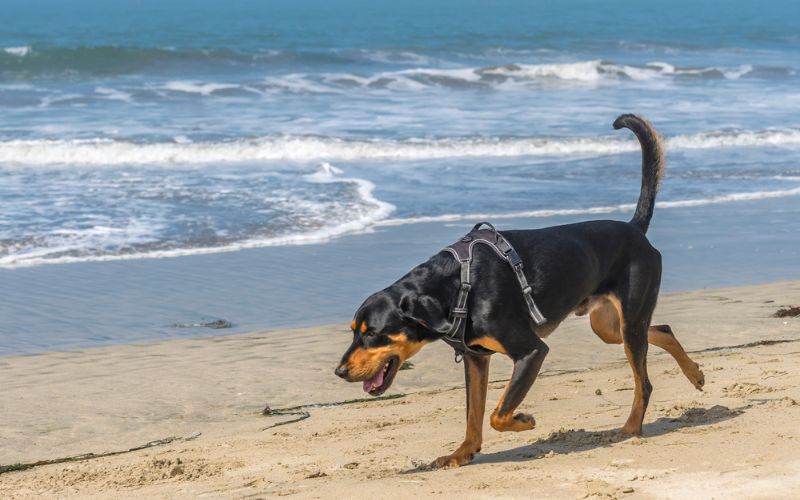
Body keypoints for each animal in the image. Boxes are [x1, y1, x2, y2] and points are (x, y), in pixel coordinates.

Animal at [334, 114, 704, 468]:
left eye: (372, 333)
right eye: (354, 331)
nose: (339, 371)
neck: (455, 287)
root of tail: (634, 230)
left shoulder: (531, 352)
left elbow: (498, 413)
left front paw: (523, 421)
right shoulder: (476, 358)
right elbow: (473, 415)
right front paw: (462, 453)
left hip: (629, 323)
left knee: (644, 382)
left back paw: (630, 428)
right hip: (610, 326)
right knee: (663, 329)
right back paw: (695, 373)